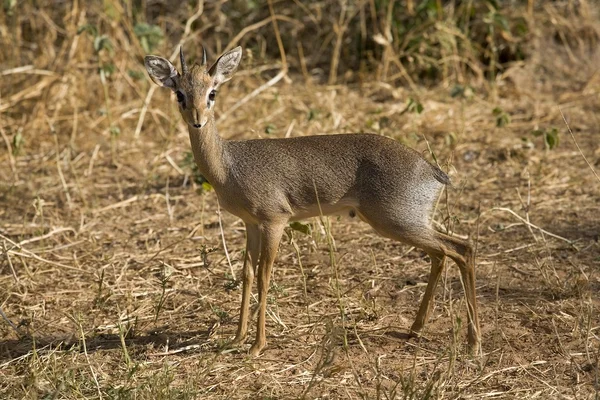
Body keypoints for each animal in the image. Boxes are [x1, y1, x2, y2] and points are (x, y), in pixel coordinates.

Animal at [143, 47, 480, 356]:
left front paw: (257, 345)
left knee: (461, 248)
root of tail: (431, 170)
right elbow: (247, 275)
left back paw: (473, 342)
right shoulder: (251, 224)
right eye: (180, 94)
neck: (229, 167)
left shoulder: (275, 220)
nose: (197, 121)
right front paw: (237, 339)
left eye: (212, 92)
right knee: (444, 254)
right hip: (410, 223)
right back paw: (416, 328)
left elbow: (264, 277)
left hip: (398, 222)